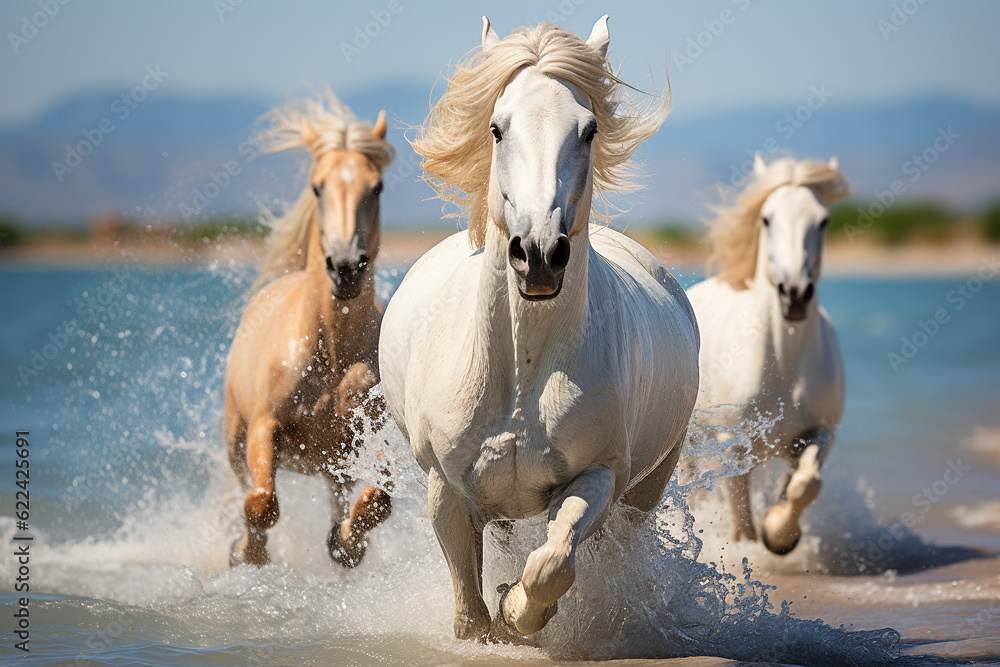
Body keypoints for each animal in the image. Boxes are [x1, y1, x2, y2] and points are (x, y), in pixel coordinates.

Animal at [224, 92, 395, 568]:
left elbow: (381, 499)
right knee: (243, 485)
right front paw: (247, 552)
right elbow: (262, 503)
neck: (330, 354)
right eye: (317, 187)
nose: (346, 267)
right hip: (234, 434)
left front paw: (348, 543)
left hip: (332, 462)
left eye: (377, 187)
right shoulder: (263, 427)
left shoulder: (369, 437)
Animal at [378, 16, 700, 640]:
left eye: (590, 129)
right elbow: (468, 607)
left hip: (644, 491)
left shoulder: (598, 477)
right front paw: (492, 622)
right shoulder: (447, 490)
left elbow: (552, 562)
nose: (540, 255)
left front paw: (518, 608)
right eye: (497, 128)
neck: (521, 369)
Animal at [687, 154, 851, 555]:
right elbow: (741, 525)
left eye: (823, 220)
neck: (783, 363)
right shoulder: (731, 446)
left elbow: (805, 485)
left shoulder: (818, 434)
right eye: (766, 218)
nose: (795, 294)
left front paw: (779, 535)